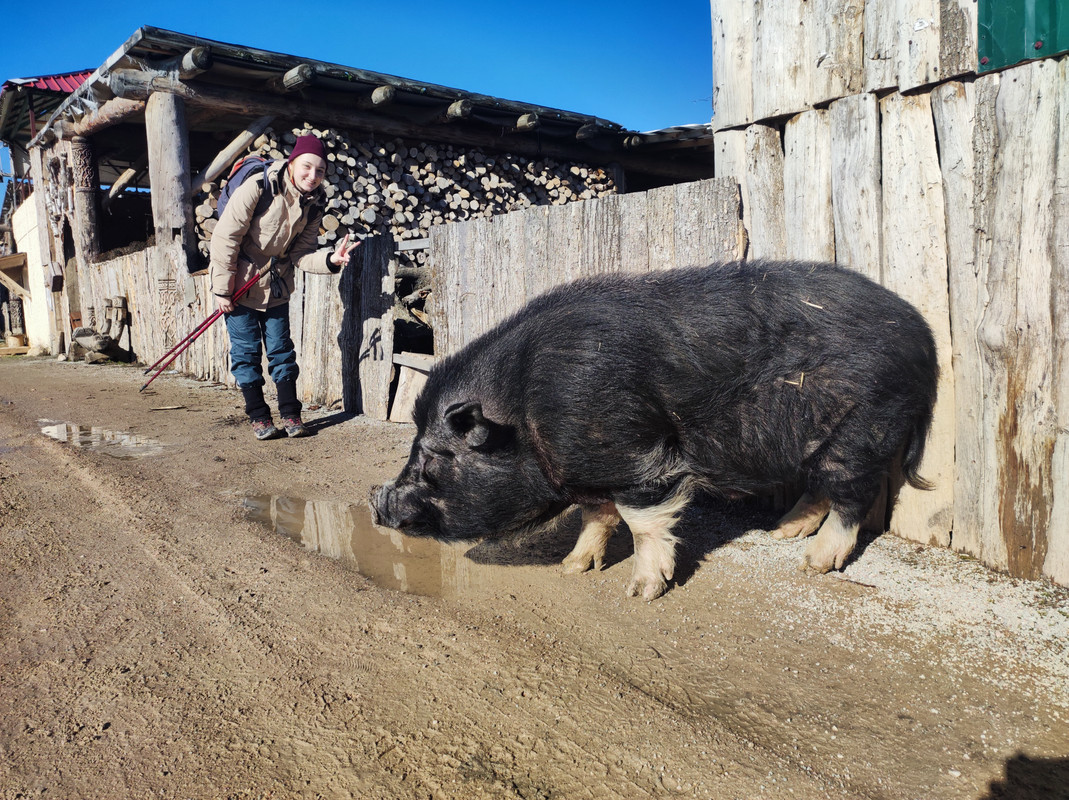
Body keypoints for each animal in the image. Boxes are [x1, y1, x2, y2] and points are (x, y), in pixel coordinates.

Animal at [372, 262, 940, 598]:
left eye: (433, 460)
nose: (379, 503)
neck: (524, 409)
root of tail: (923, 336)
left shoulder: (632, 451)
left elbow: (641, 518)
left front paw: (643, 591)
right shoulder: (588, 465)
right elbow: (597, 516)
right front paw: (572, 569)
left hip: (863, 427)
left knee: (853, 495)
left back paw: (812, 564)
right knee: (821, 488)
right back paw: (782, 531)